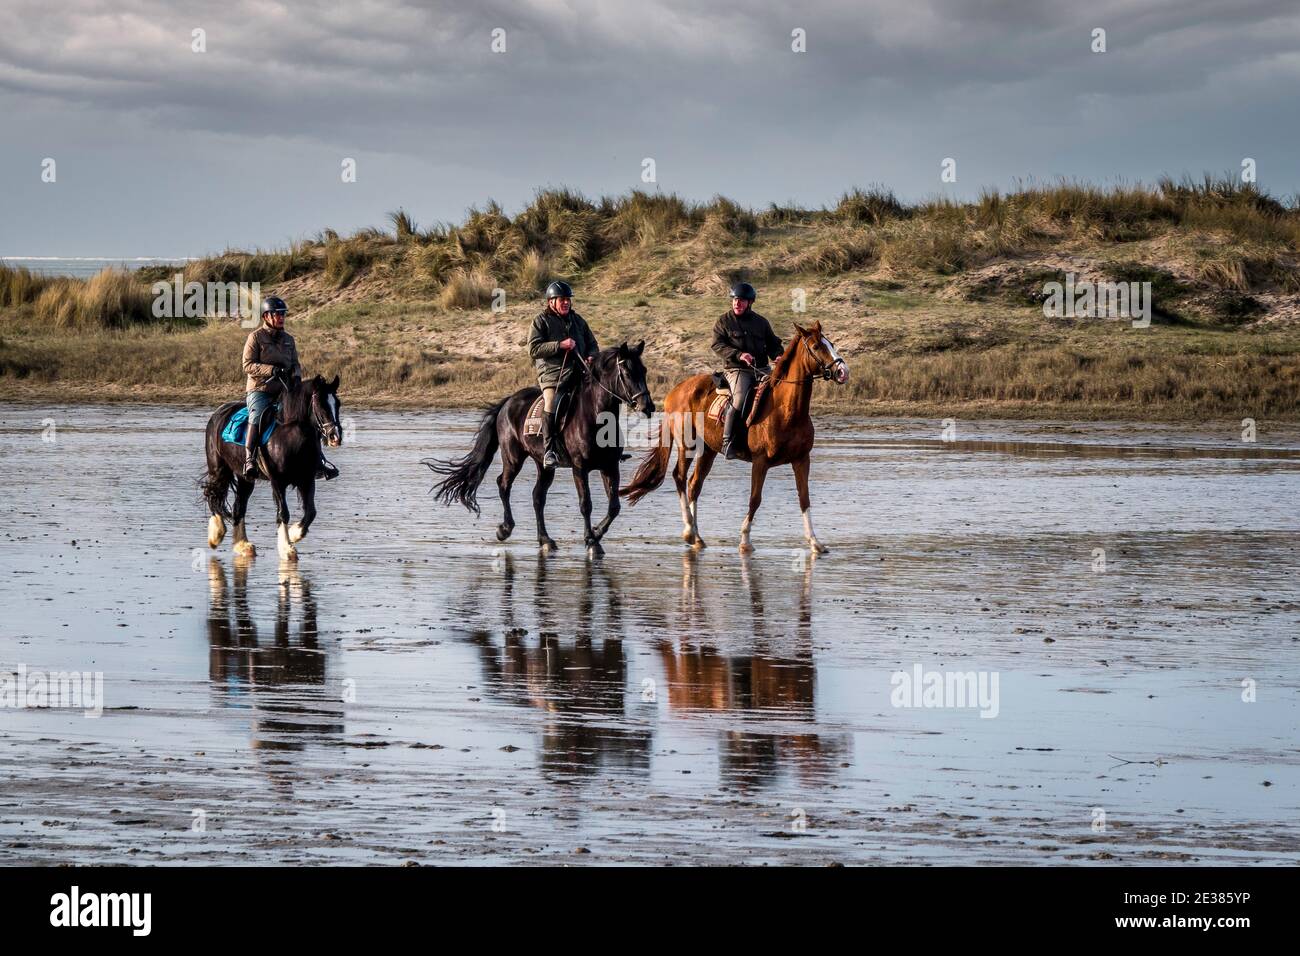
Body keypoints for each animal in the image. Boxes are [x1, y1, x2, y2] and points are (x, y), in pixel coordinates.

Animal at [200, 374, 343, 564]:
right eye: (320, 403)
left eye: (338, 404)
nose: (335, 436)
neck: (291, 435)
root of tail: (219, 412)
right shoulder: (277, 481)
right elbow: (283, 512)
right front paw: (287, 548)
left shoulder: (307, 479)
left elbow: (311, 512)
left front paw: (294, 533)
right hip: (218, 468)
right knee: (213, 493)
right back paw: (217, 535)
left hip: (245, 478)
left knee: (239, 507)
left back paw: (243, 546)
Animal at [423, 343, 650, 556]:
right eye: (627, 373)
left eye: (644, 370)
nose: (647, 406)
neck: (595, 415)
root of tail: (508, 402)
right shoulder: (580, 468)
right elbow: (586, 504)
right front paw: (591, 541)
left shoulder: (609, 466)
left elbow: (614, 507)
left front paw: (596, 532)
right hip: (513, 458)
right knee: (504, 485)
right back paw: (505, 529)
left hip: (544, 465)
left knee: (537, 497)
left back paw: (545, 540)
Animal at [621, 323, 847, 554]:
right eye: (817, 346)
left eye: (831, 343)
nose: (842, 371)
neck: (786, 410)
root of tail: (676, 390)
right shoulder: (760, 461)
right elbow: (755, 499)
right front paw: (745, 541)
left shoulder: (801, 460)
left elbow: (804, 498)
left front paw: (815, 542)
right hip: (687, 445)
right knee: (680, 477)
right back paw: (689, 531)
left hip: (707, 450)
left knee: (694, 484)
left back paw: (698, 537)